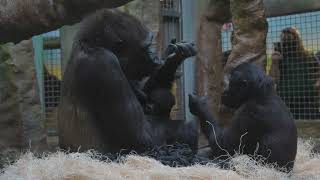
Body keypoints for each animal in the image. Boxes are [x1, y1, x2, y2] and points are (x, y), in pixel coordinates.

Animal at [58, 9, 198, 154]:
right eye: (146, 47)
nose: (154, 55)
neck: (91, 46)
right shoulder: (104, 64)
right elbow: (141, 138)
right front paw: (186, 129)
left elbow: (149, 95)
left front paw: (173, 58)